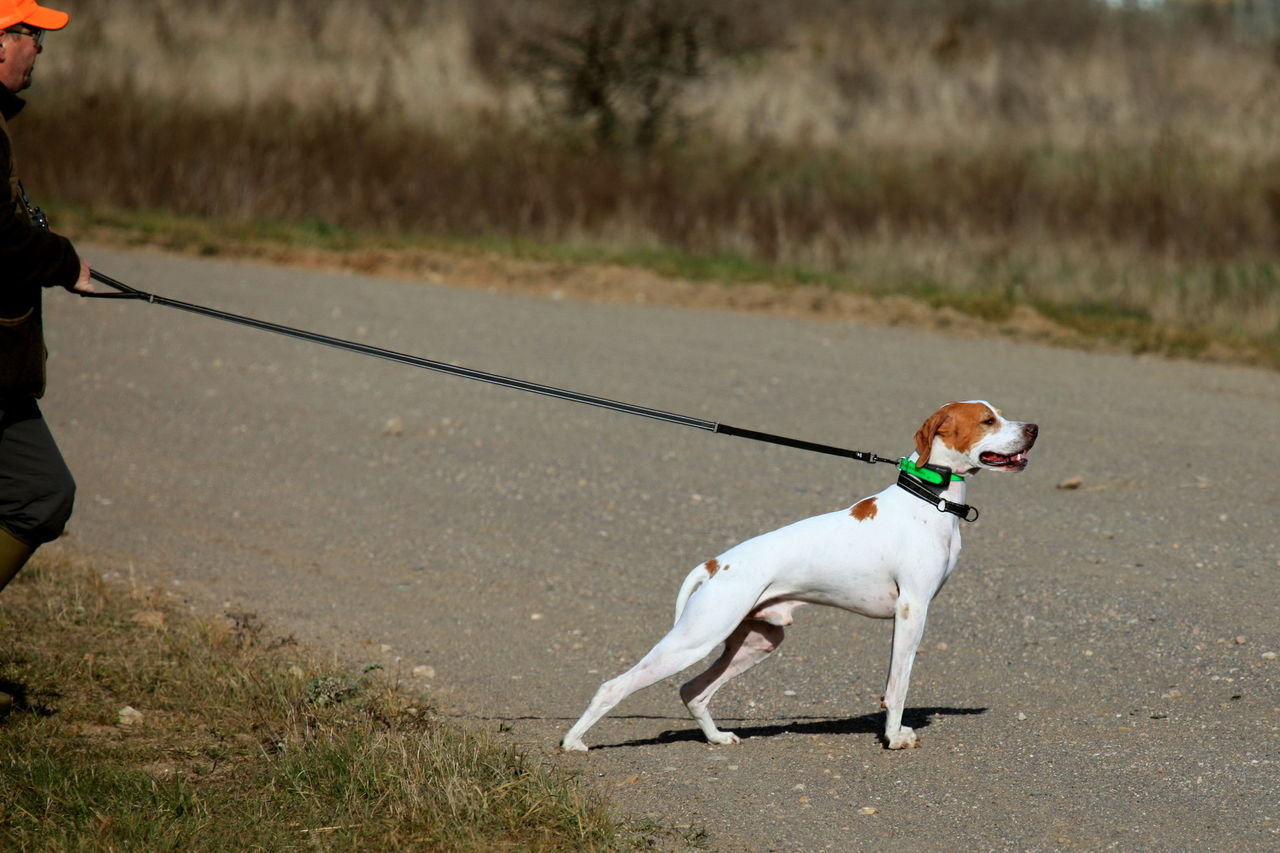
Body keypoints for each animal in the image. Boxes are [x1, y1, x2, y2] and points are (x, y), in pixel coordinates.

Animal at [561, 401, 1038, 751]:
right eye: (988, 420)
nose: (1034, 427)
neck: (930, 496)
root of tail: (715, 564)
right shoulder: (912, 610)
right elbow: (898, 684)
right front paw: (893, 737)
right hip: (694, 639)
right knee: (615, 686)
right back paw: (572, 743)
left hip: (758, 641)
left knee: (693, 691)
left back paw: (717, 738)